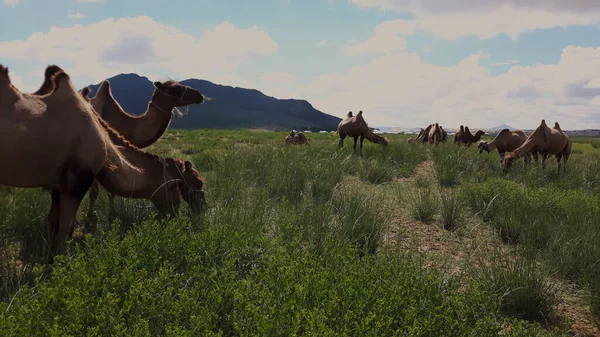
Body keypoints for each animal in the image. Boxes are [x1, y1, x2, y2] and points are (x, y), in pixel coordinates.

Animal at [0, 64, 135, 258]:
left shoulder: (58, 181)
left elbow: (53, 222)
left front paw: (49, 258)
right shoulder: (78, 179)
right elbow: (65, 227)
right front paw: (60, 262)